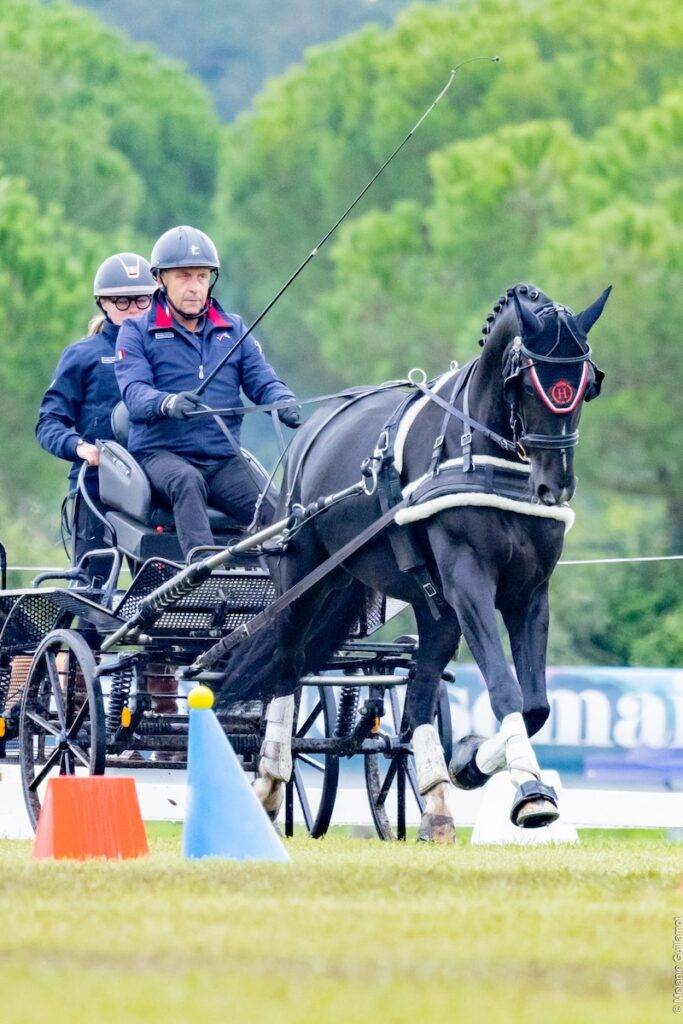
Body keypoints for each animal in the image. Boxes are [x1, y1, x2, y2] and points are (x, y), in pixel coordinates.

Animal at [220, 282, 610, 842]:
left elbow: (535, 704)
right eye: (527, 383)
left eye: (586, 385)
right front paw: (531, 791)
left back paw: (436, 804)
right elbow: (507, 692)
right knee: (286, 667)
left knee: (420, 690)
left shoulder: (529, 592)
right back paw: (271, 783)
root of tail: (307, 435)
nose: (553, 488)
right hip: (303, 578)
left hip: (432, 606)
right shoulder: (470, 582)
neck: (483, 457)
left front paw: (471, 762)